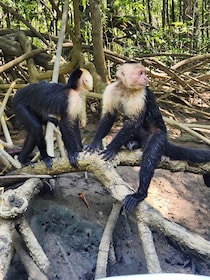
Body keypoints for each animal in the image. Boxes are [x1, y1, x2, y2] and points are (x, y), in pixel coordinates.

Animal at [85, 61, 210, 212]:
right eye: (141, 73)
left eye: (144, 73)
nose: (146, 78)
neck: (126, 88)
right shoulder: (111, 89)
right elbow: (109, 115)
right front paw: (95, 142)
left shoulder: (141, 94)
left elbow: (134, 122)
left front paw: (112, 147)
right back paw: (133, 143)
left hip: (158, 136)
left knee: (149, 155)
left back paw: (140, 194)